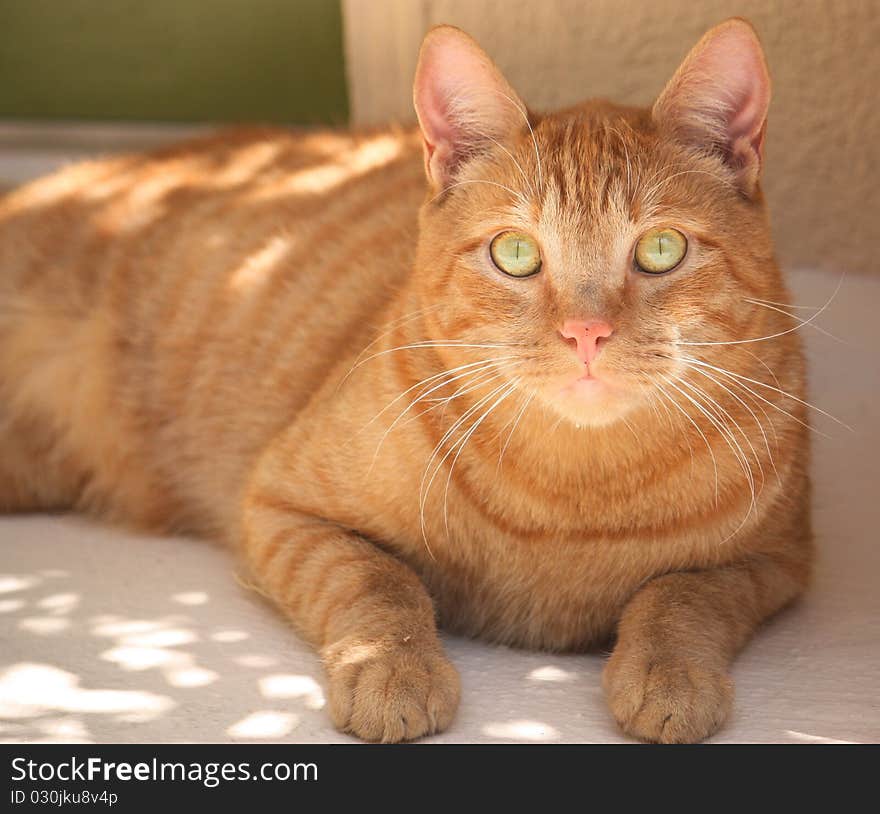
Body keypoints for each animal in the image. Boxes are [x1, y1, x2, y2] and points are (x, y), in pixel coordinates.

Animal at [0, 19, 812, 744]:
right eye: (516, 253)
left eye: (662, 249)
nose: (586, 333)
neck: (570, 500)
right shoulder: (282, 507)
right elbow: (378, 583)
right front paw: (394, 671)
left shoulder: (774, 560)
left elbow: (681, 596)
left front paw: (670, 675)